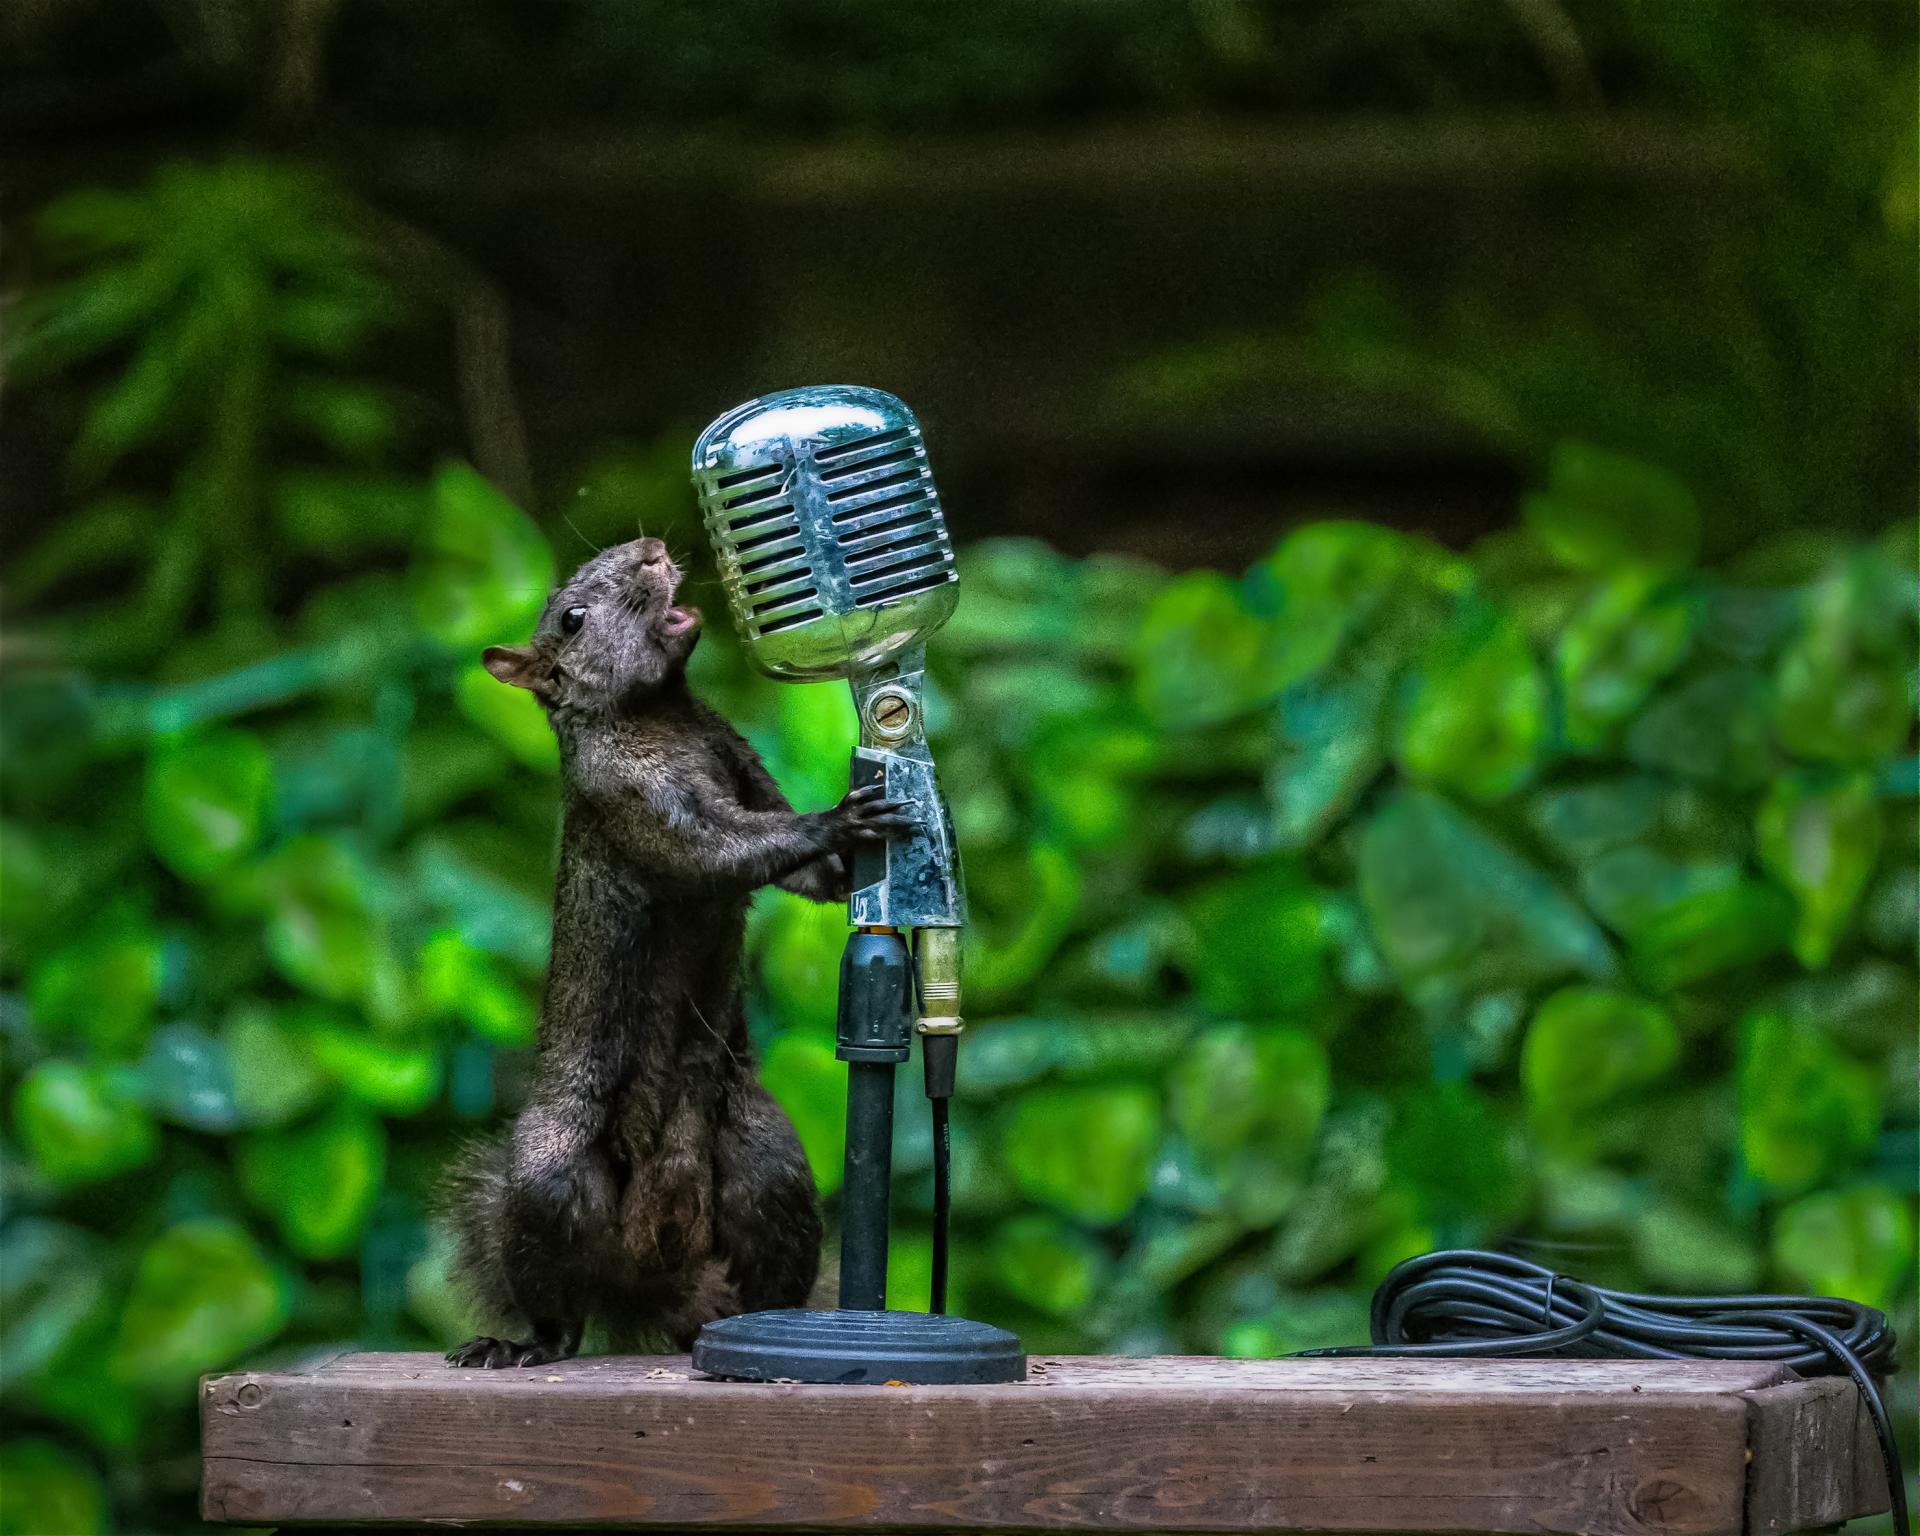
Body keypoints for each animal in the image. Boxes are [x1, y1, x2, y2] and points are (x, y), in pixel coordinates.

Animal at [441, 529, 913, 1367]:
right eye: (571, 618)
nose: (653, 548)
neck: (664, 715)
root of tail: (648, 1266)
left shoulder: (736, 756)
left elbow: (812, 879)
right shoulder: (634, 805)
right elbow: (718, 854)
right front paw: (839, 817)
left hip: (769, 1168)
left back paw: (761, 1326)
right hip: (550, 1179)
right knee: (560, 1308)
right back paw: (523, 1343)